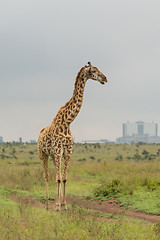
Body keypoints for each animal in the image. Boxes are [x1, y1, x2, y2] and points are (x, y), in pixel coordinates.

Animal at [37, 61, 107, 210]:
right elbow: (58, 178)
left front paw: (64, 205)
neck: (67, 122)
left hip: (53, 156)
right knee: (47, 176)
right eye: (93, 70)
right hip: (43, 154)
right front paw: (58, 206)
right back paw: (47, 205)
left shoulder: (67, 152)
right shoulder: (58, 151)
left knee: (55, 175)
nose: (105, 78)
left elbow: (63, 178)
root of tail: (40, 134)